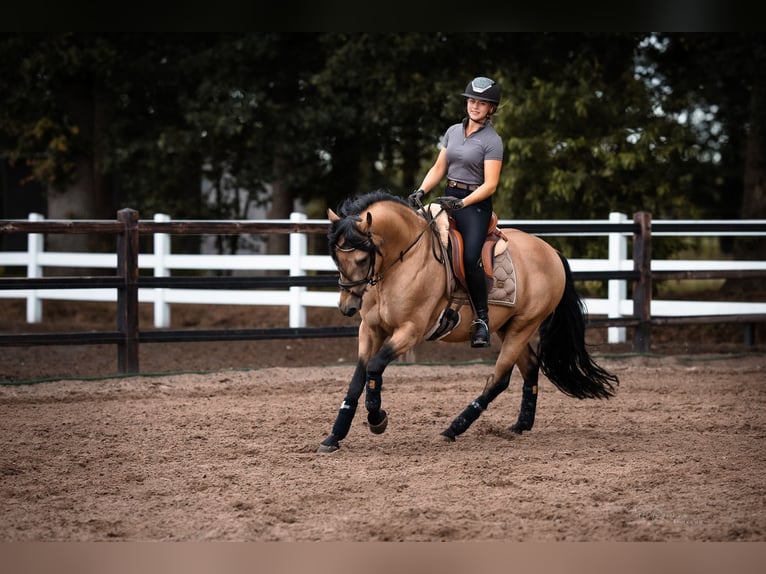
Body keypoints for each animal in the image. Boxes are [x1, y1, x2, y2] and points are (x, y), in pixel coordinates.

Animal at [317, 189, 618, 453]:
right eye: (336, 258)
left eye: (361, 258)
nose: (347, 307)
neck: (405, 259)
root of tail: (551, 252)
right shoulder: (370, 330)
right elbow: (358, 378)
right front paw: (334, 436)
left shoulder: (410, 331)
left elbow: (375, 368)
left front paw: (377, 419)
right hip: (508, 327)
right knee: (530, 366)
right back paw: (521, 425)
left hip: (524, 326)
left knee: (499, 378)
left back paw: (454, 428)